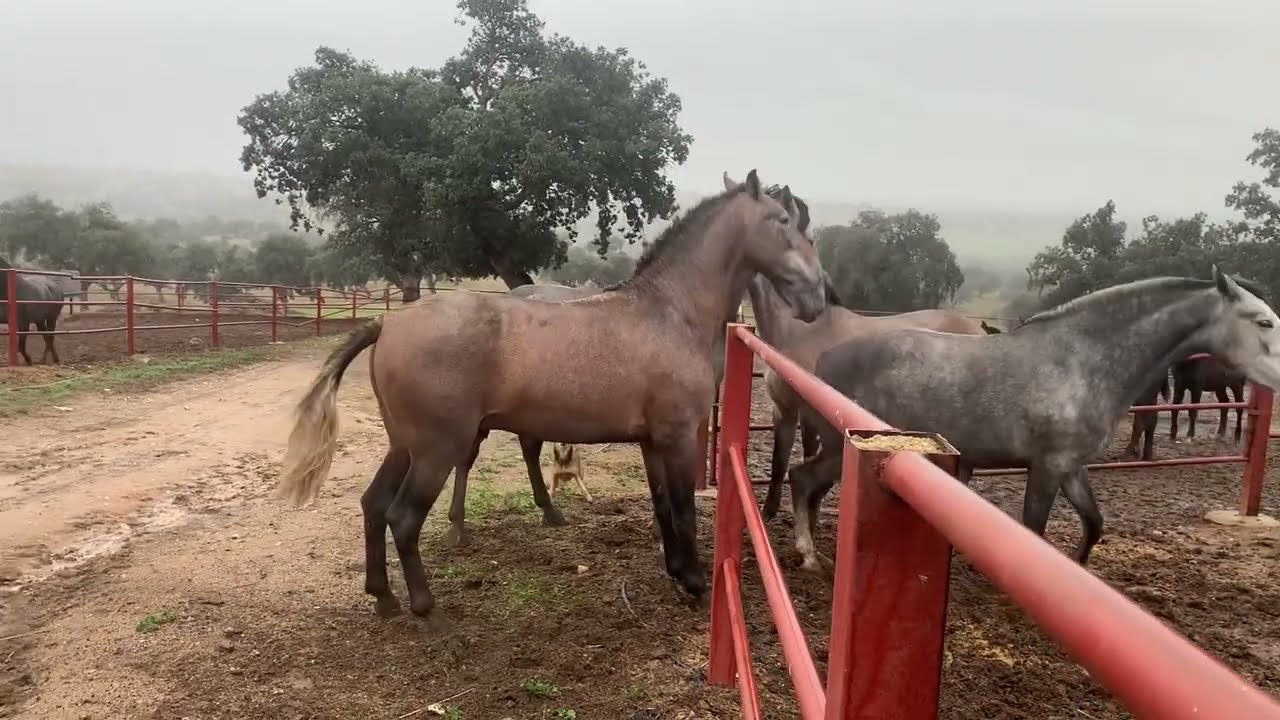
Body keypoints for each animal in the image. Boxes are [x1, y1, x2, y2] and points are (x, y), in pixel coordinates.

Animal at [277, 170, 828, 618]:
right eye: (783, 219)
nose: (818, 298)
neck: (670, 312)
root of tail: (387, 324)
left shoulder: (651, 442)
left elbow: (663, 510)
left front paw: (675, 572)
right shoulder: (677, 437)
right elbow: (684, 511)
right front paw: (693, 581)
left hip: (404, 446)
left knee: (373, 506)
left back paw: (384, 598)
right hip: (437, 450)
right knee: (402, 517)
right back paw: (423, 605)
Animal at [788, 269, 1280, 573]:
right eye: (1263, 322)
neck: (1083, 361)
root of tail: (824, 360)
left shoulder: (1070, 467)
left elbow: (1094, 522)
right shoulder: (1046, 467)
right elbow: (1034, 530)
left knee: (809, 487)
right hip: (842, 447)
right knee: (800, 479)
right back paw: (809, 556)